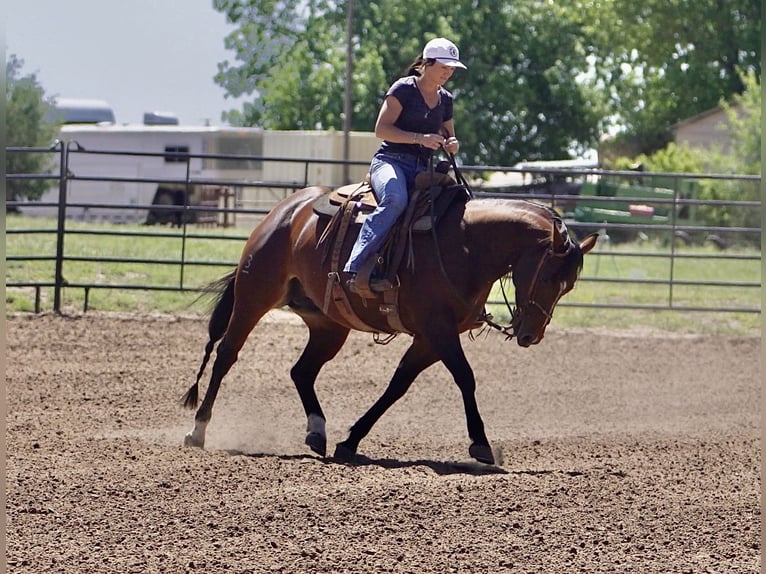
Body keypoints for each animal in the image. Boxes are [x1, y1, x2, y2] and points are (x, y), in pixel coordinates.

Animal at [182, 187, 600, 466]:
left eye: (569, 286)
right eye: (547, 277)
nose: (530, 335)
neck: (464, 245)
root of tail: (284, 212)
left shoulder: (430, 338)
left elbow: (397, 385)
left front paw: (350, 442)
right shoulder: (439, 331)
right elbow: (465, 378)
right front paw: (481, 444)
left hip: (328, 325)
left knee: (301, 371)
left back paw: (317, 432)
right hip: (254, 297)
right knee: (226, 355)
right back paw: (197, 431)